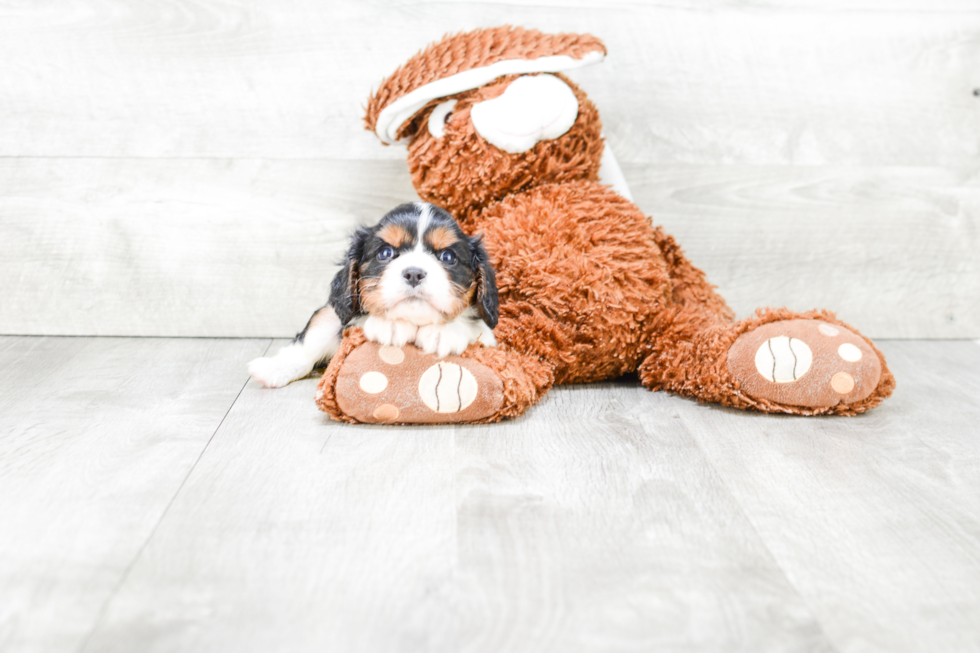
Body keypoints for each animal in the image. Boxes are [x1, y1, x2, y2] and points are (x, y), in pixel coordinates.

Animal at [249, 201, 502, 388]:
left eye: (448, 257)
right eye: (385, 253)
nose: (414, 273)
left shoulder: (488, 340)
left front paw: (444, 331)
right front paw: (389, 324)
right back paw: (274, 368)